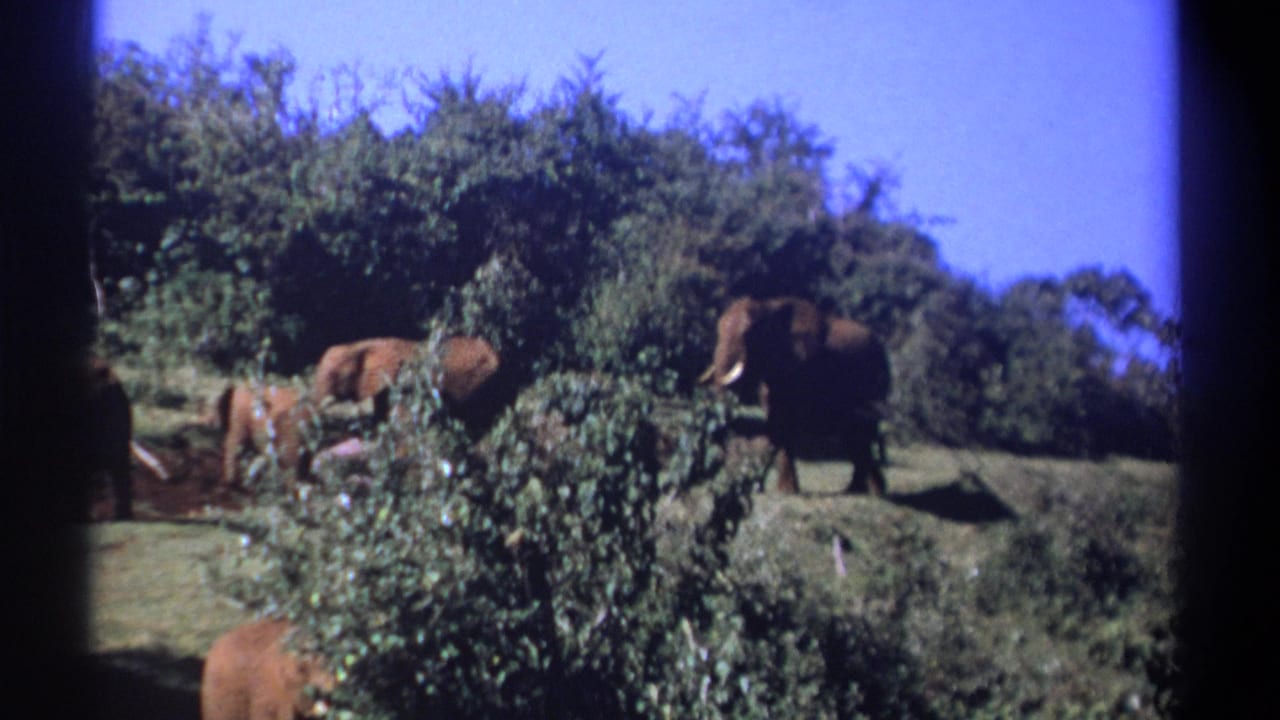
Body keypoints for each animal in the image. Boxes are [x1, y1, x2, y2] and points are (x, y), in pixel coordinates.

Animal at [700, 297, 891, 495]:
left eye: (748, 335)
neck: (768, 307)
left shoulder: (801, 367)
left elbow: (784, 426)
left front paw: (785, 491)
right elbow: (776, 426)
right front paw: (778, 489)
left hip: (875, 383)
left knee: (862, 434)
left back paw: (873, 492)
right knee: (855, 437)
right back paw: (856, 489)